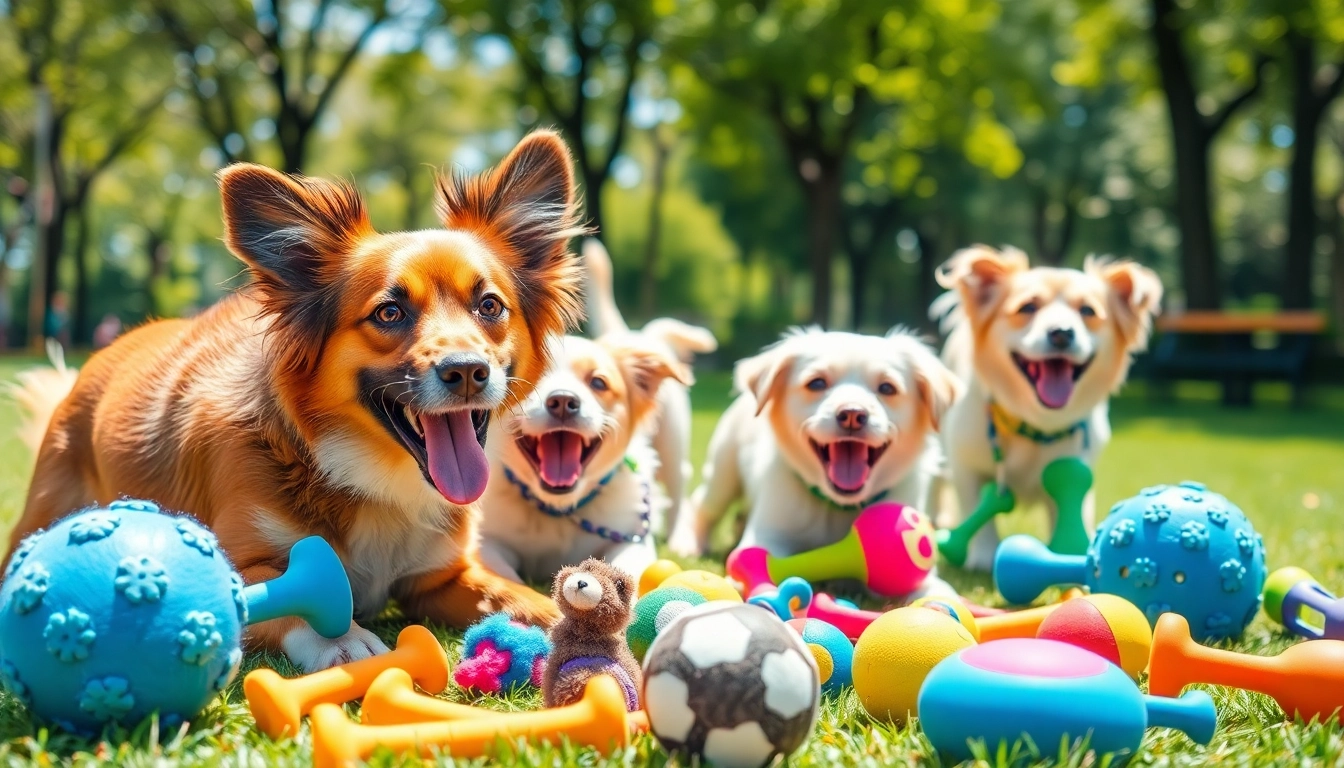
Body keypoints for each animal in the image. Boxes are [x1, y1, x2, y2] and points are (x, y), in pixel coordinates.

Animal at [6, 132, 583, 672]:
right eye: (389, 312)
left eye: (489, 305)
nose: (466, 371)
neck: (376, 475)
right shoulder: (241, 560)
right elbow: (292, 604)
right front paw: (344, 641)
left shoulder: (442, 576)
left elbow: (518, 597)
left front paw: (567, 615)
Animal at [475, 334, 688, 583]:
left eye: (598, 383)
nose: (563, 401)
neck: (559, 507)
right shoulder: (487, 541)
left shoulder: (632, 540)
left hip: (673, 442)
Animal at [677, 324, 962, 575]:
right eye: (816, 383)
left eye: (887, 387)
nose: (852, 414)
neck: (837, 506)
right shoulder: (768, 532)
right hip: (723, 473)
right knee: (701, 506)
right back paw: (688, 542)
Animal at [930, 246, 1161, 570]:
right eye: (1027, 307)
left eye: (1087, 311)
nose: (1062, 332)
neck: (1037, 423)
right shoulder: (967, 464)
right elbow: (978, 508)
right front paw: (984, 555)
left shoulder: (1077, 469)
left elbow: (1070, 508)